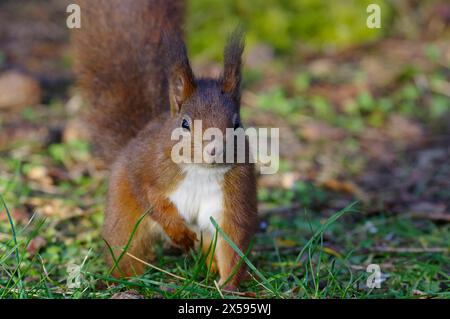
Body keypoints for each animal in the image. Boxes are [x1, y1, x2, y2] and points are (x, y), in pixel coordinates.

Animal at [73, 0, 256, 290]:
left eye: (237, 123)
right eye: (185, 123)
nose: (214, 150)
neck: (200, 170)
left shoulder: (235, 194)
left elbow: (232, 240)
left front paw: (228, 287)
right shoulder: (146, 168)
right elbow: (150, 196)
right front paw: (180, 234)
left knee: (210, 247)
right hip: (125, 218)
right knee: (126, 249)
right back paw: (129, 282)